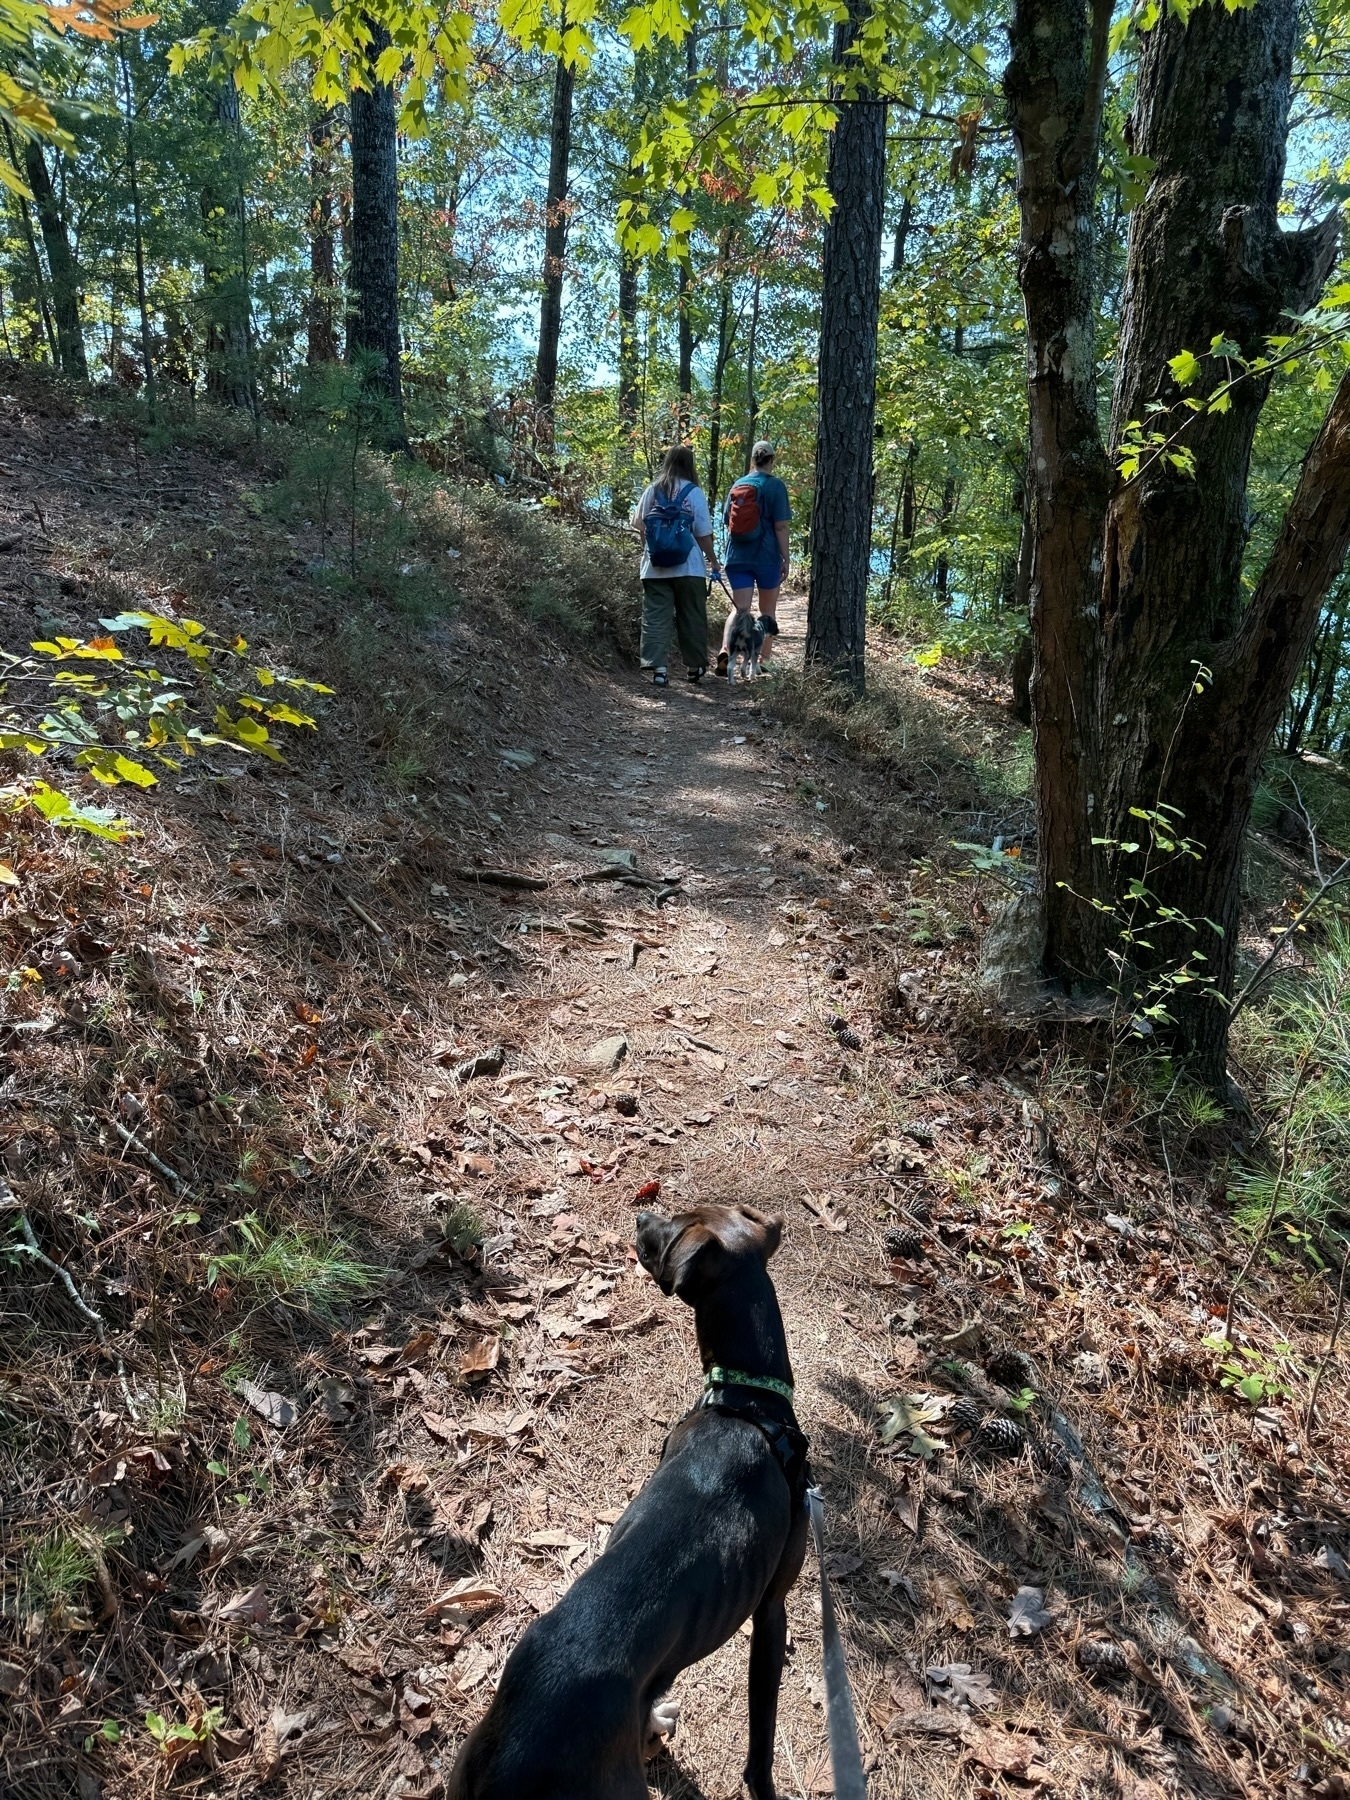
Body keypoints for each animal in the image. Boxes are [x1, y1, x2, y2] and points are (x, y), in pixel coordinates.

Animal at [444, 1202, 810, 1800]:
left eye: (677, 1224)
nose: (641, 1215)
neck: (749, 1403)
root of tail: (512, 1759)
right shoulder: (771, 1611)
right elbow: (760, 1751)